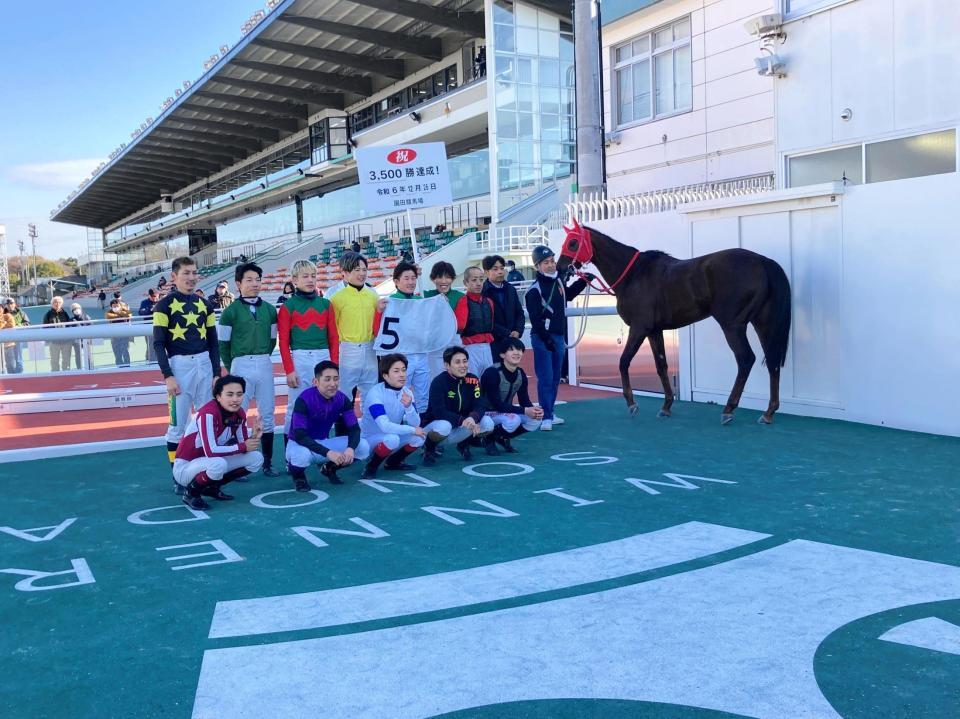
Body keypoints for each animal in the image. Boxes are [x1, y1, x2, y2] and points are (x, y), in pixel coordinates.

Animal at [552, 218, 792, 422]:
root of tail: (762, 261)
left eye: (573, 242)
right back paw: (768, 412)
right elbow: (661, 365)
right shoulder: (654, 331)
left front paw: (631, 403)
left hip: (732, 325)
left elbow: (623, 361)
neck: (633, 275)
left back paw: (729, 408)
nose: (560, 268)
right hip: (762, 324)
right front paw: (666, 406)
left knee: (745, 359)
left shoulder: (639, 328)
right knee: (772, 361)